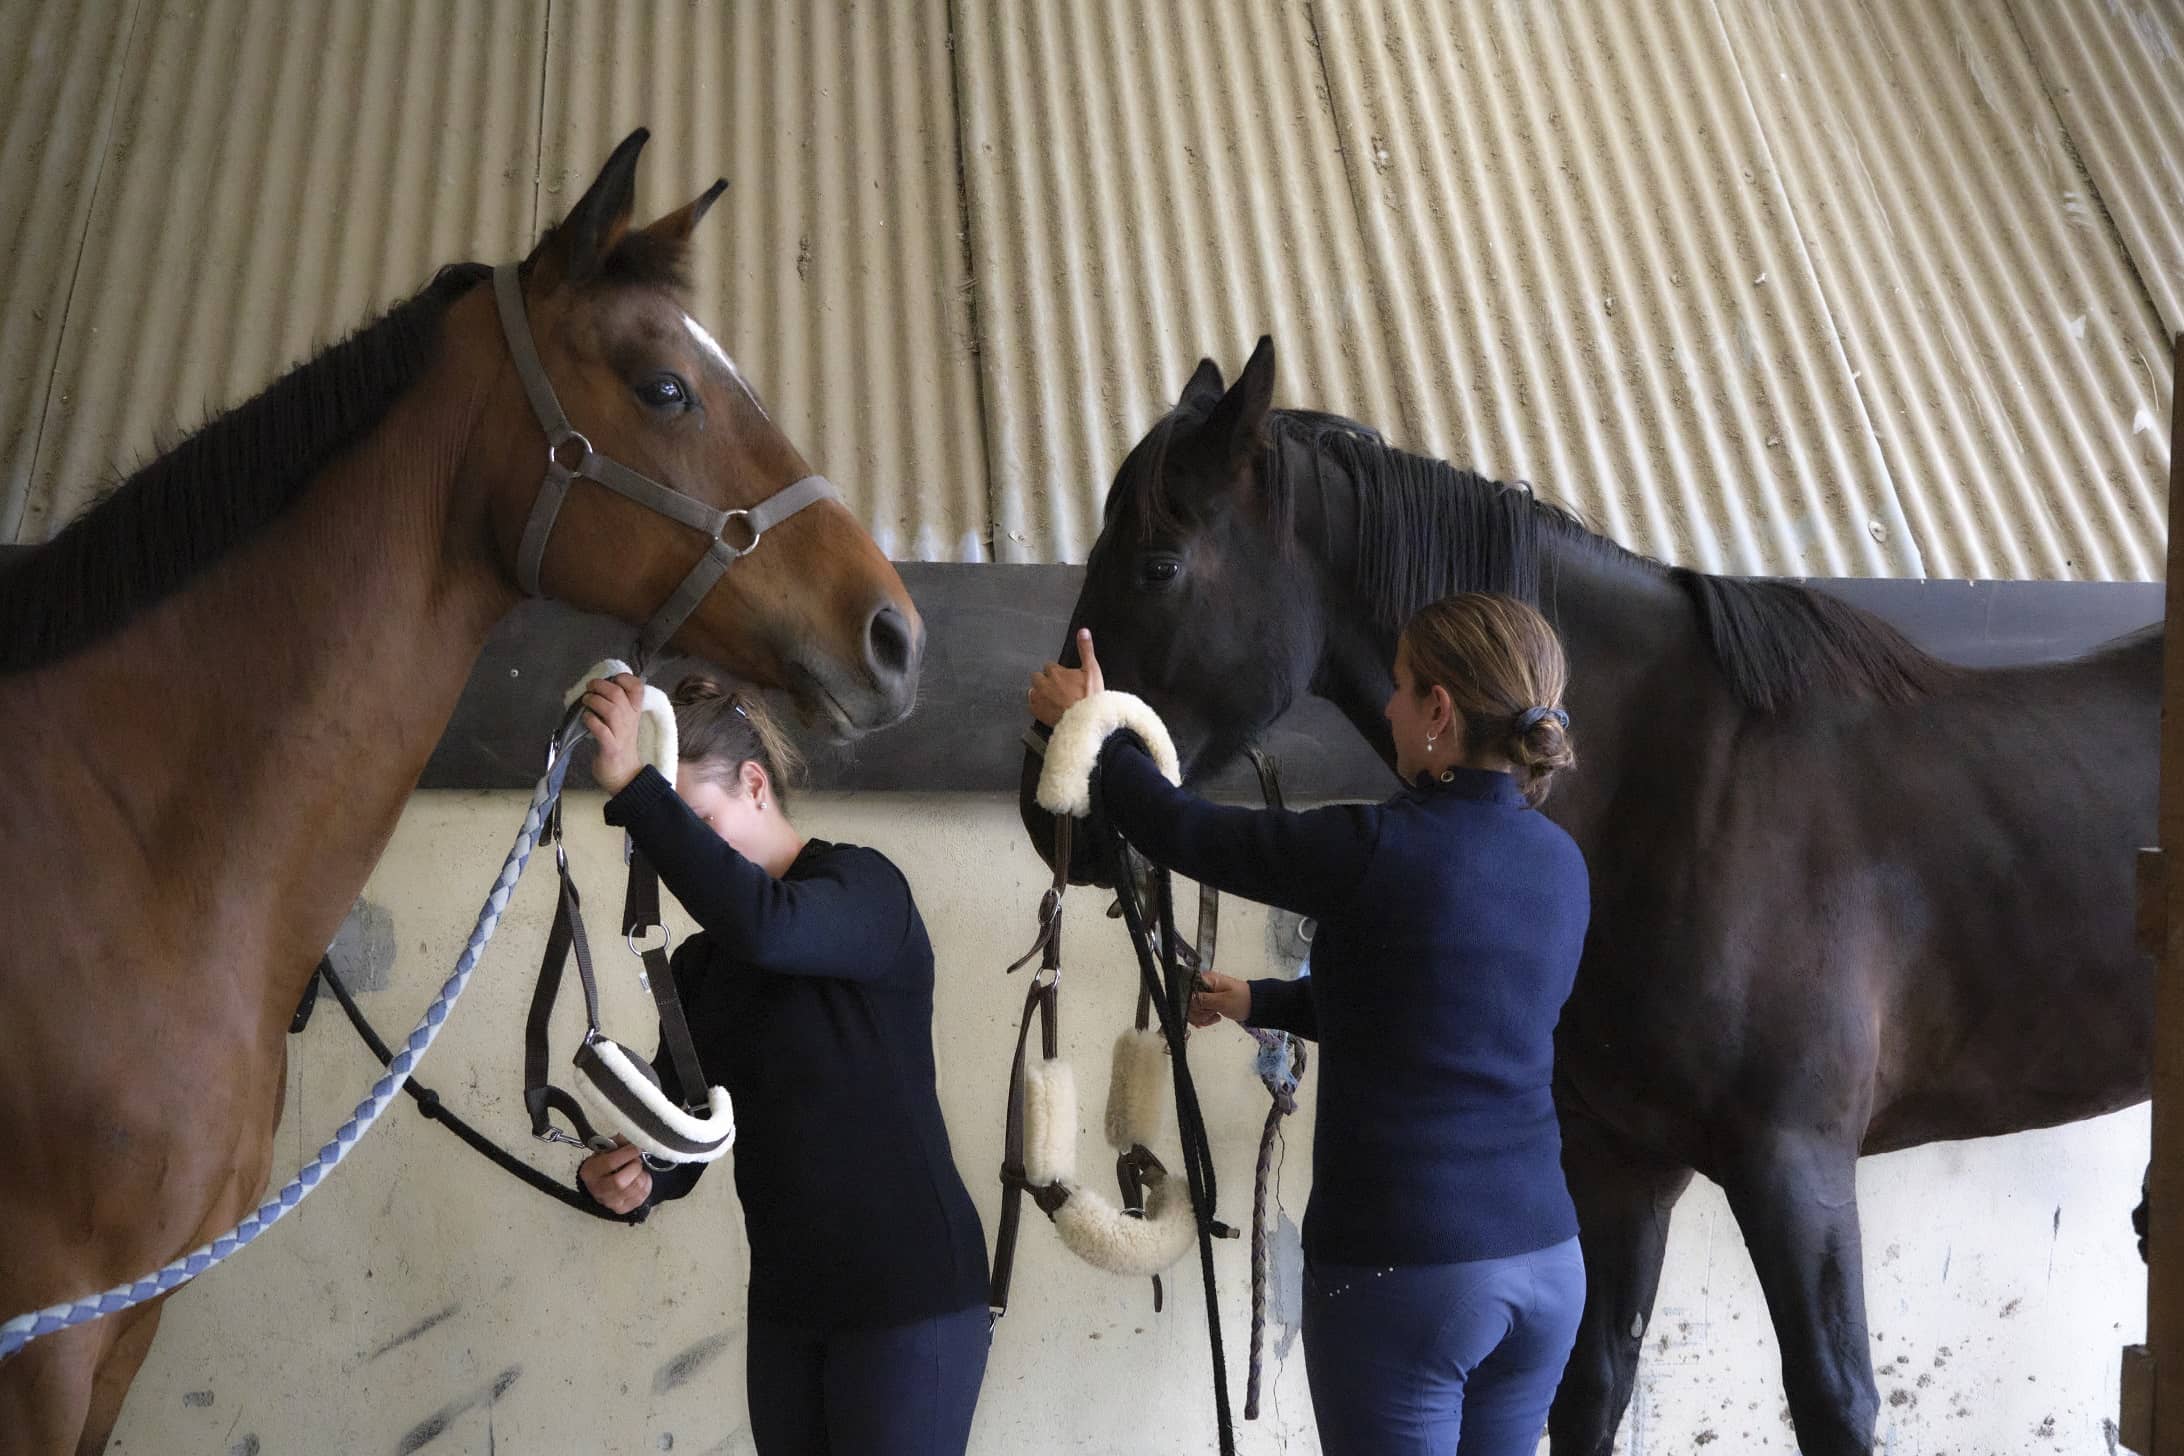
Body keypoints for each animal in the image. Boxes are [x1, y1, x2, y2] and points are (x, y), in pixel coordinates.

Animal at [1013, 338, 2157, 1456]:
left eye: (1159, 563)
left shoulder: (1797, 1167)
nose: (1043, 802)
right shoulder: (1619, 1164)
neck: (1675, 785)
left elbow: (1835, 1399)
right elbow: (1590, 1387)